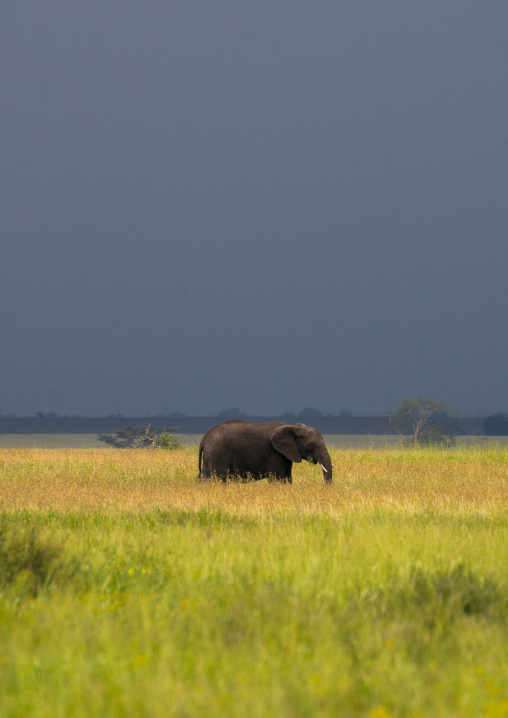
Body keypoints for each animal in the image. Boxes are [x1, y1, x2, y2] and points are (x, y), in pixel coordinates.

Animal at [198, 420, 333, 483]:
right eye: (311, 445)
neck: (293, 427)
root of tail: (204, 440)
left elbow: (288, 478)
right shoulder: (274, 452)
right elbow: (277, 479)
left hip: (210, 456)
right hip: (218, 455)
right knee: (219, 479)